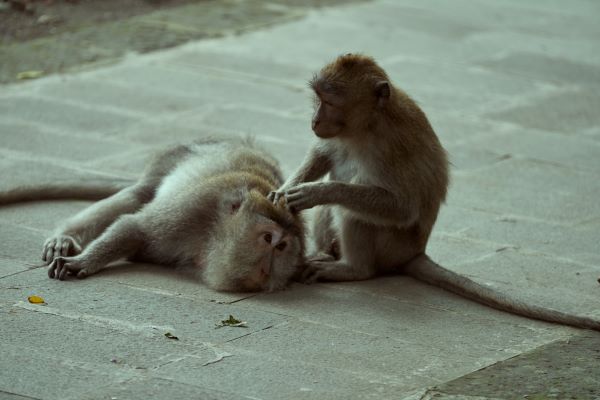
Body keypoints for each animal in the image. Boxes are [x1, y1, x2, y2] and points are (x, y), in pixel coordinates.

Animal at [2, 137, 304, 290]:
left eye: (283, 247)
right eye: (268, 239)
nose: (269, 264)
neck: (214, 237)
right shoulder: (194, 209)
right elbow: (135, 228)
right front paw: (84, 261)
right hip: (172, 158)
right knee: (138, 195)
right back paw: (65, 237)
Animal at [270, 54, 600, 332]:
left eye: (330, 101)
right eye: (318, 98)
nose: (315, 120)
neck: (367, 125)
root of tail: (414, 252)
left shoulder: (391, 148)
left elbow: (402, 208)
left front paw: (317, 192)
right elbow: (323, 155)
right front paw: (284, 190)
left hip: (393, 245)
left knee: (352, 211)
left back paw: (353, 269)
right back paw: (327, 253)